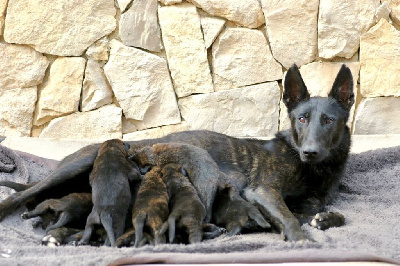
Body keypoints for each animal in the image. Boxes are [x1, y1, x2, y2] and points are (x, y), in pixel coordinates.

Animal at [0, 64, 356, 241]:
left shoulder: (308, 201)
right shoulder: (263, 191)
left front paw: (326, 219)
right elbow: (288, 217)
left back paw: (61, 234)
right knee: (21, 195)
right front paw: (301, 240)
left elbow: (325, 214)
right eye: (302, 118)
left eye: (328, 120)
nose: (310, 152)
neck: (313, 169)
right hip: (75, 165)